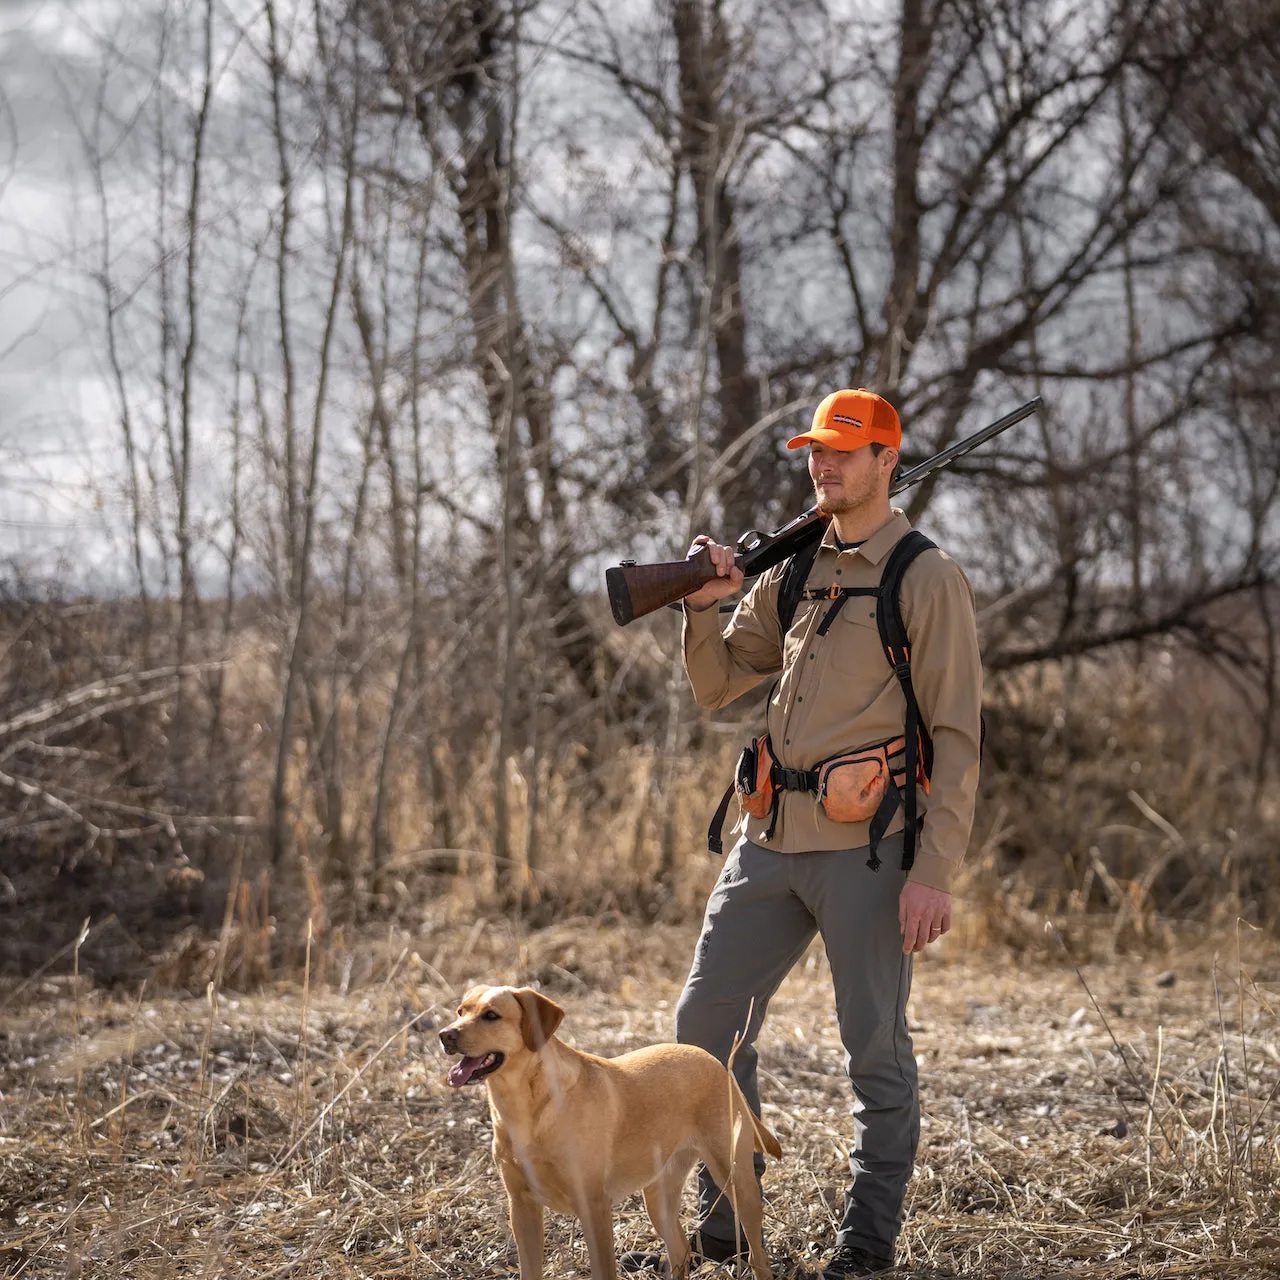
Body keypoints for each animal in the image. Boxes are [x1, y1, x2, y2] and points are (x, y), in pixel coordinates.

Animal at [440, 983, 778, 1274]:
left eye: (491, 1015)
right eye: (460, 1011)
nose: (445, 1035)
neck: (524, 1105)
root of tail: (718, 1064)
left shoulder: (594, 1208)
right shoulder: (522, 1207)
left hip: (735, 1180)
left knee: (757, 1255)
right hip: (657, 1196)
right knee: (680, 1251)